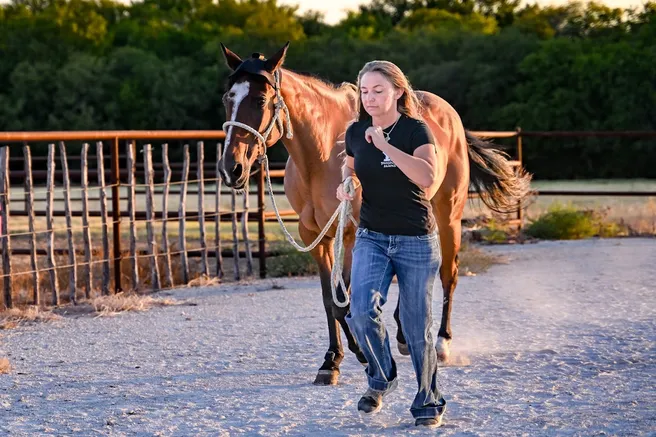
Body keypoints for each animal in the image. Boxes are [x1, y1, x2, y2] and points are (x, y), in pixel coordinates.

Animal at [218, 42, 532, 384]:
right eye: (227, 99)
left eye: (261, 100)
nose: (231, 169)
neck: (322, 154)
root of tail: (452, 118)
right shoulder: (315, 237)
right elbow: (330, 300)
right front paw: (331, 361)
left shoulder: (352, 235)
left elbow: (346, 302)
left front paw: (361, 355)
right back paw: (404, 336)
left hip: (449, 213)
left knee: (448, 273)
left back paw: (441, 342)